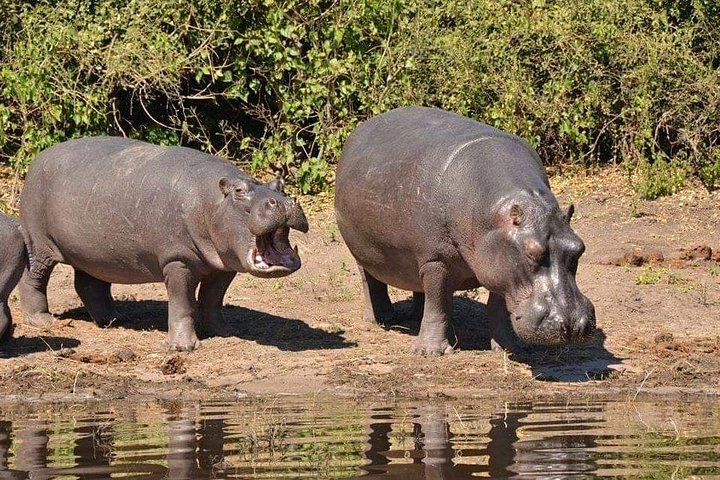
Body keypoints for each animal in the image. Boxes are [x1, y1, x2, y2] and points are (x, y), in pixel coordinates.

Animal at [19, 137, 306, 350]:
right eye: (239, 192)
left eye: (279, 185)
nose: (284, 202)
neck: (212, 202)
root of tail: (39, 158)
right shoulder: (178, 261)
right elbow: (182, 303)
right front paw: (183, 347)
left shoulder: (224, 263)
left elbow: (213, 299)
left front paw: (224, 331)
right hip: (40, 242)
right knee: (34, 278)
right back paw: (43, 321)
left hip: (94, 253)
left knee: (90, 284)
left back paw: (114, 318)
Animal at [338, 109, 596, 356]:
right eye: (531, 252)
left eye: (579, 248)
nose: (575, 325)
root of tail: (364, 127)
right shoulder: (436, 261)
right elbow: (438, 304)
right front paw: (429, 352)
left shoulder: (500, 267)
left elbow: (497, 309)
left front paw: (510, 348)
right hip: (365, 251)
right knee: (372, 281)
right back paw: (380, 320)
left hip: (416, 257)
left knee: (420, 288)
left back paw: (415, 317)